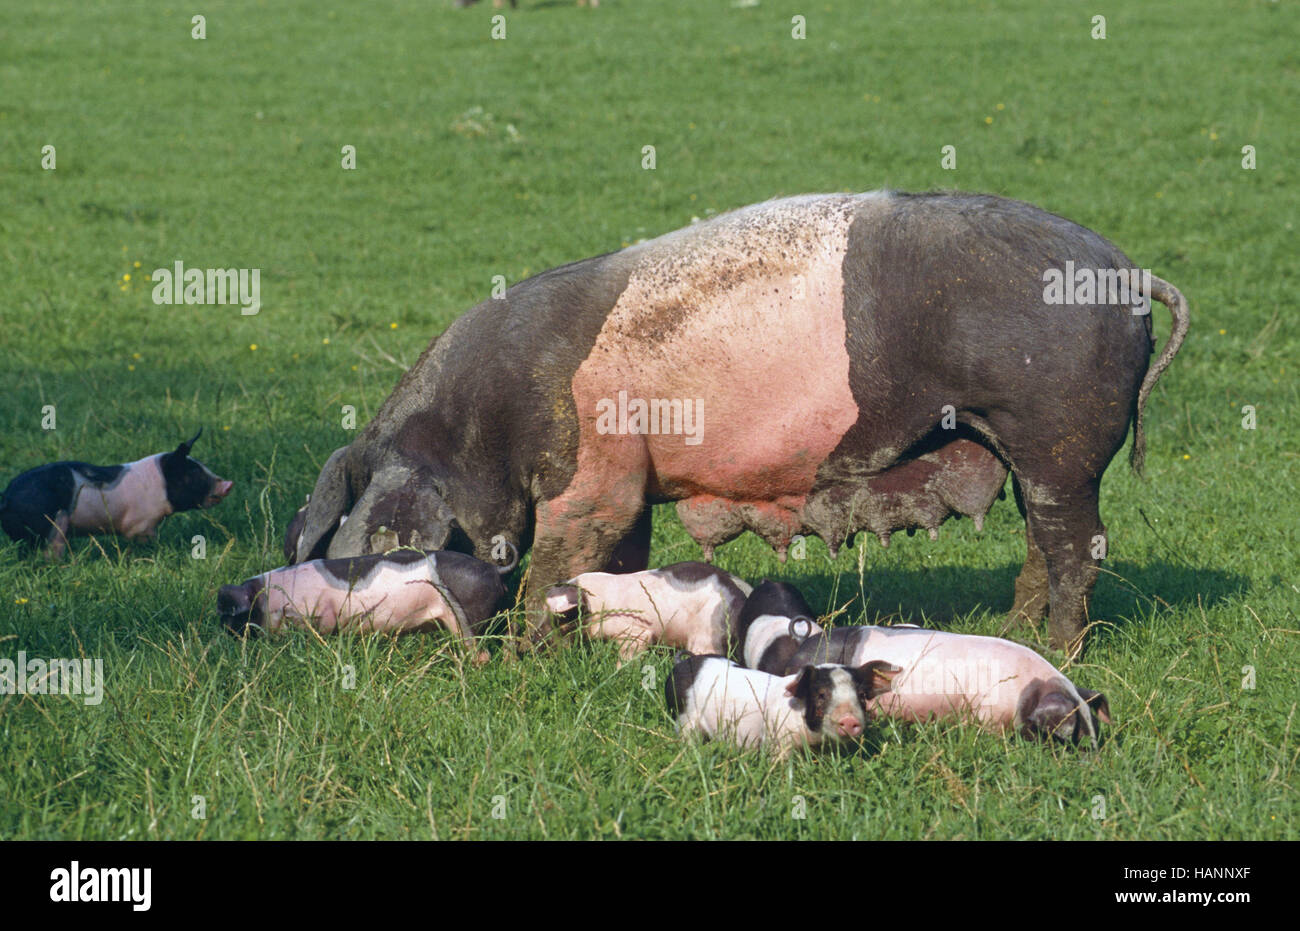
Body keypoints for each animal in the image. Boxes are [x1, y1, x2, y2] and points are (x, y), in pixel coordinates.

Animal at [0, 431, 231, 559]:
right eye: (193, 472)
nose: (228, 484)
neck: (161, 486)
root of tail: (7, 496)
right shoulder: (141, 525)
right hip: (52, 527)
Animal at [218, 548, 506, 665]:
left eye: (236, 615)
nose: (224, 631)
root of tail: (494, 569)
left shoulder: (320, 614)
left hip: (468, 619)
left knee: (481, 653)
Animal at [665, 655, 899, 754]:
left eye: (861, 695)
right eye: (821, 694)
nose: (849, 719)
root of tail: (680, 665)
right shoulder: (776, 737)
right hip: (684, 719)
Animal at [738, 577, 1112, 743]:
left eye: (1094, 729)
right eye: (1069, 736)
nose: (1094, 757)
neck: (1026, 691)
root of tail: (801, 653)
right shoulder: (988, 712)